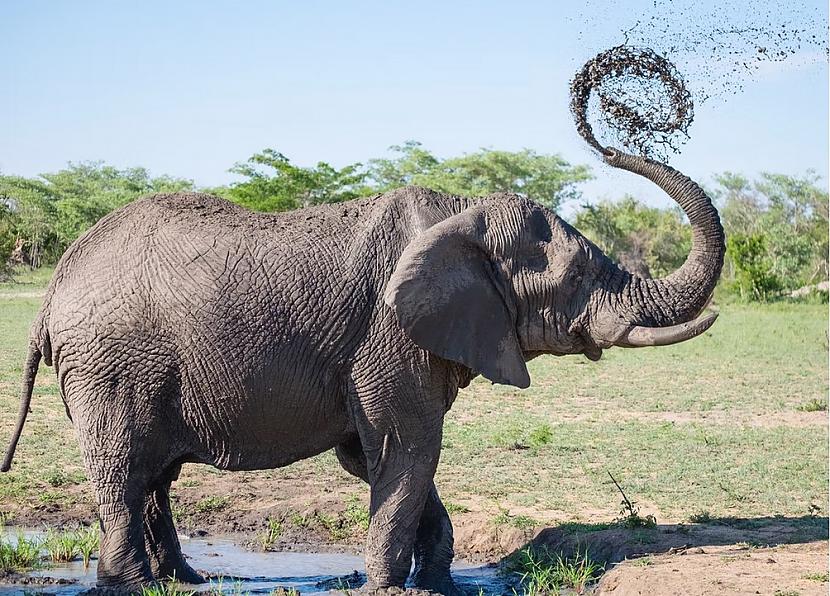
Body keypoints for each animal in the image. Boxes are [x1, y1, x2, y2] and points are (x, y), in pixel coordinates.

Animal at [1, 147, 720, 592]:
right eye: (574, 279)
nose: (605, 139)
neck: (459, 212)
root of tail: (55, 283)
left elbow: (379, 456)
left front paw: (437, 583)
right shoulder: (388, 333)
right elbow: (409, 445)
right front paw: (391, 587)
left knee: (155, 474)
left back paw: (182, 581)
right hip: (110, 365)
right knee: (124, 468)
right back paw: (130, 586)